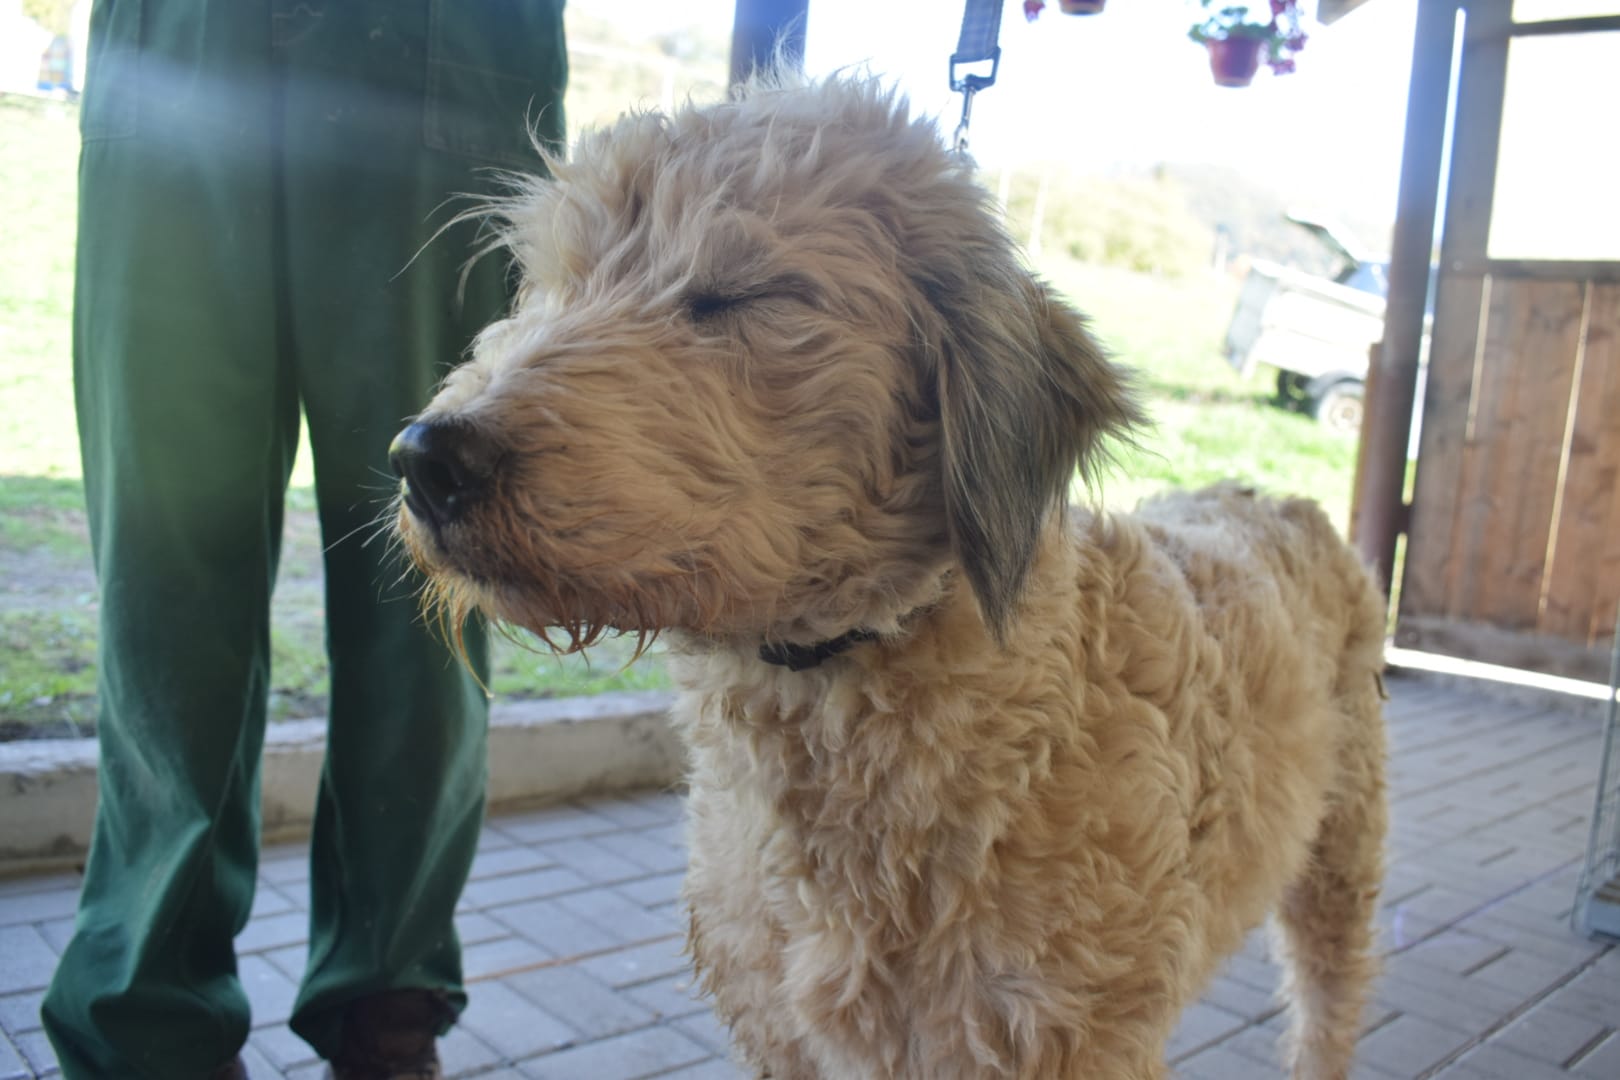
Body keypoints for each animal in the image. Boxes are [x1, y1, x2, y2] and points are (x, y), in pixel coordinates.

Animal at [390, 76, 1388, 1080]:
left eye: (742, 291)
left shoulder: (1062, 1035)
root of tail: (1279, 497)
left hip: (1342, 862)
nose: (426, 460)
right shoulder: (785, 1036)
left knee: (1328, 1008)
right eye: (547, 280)